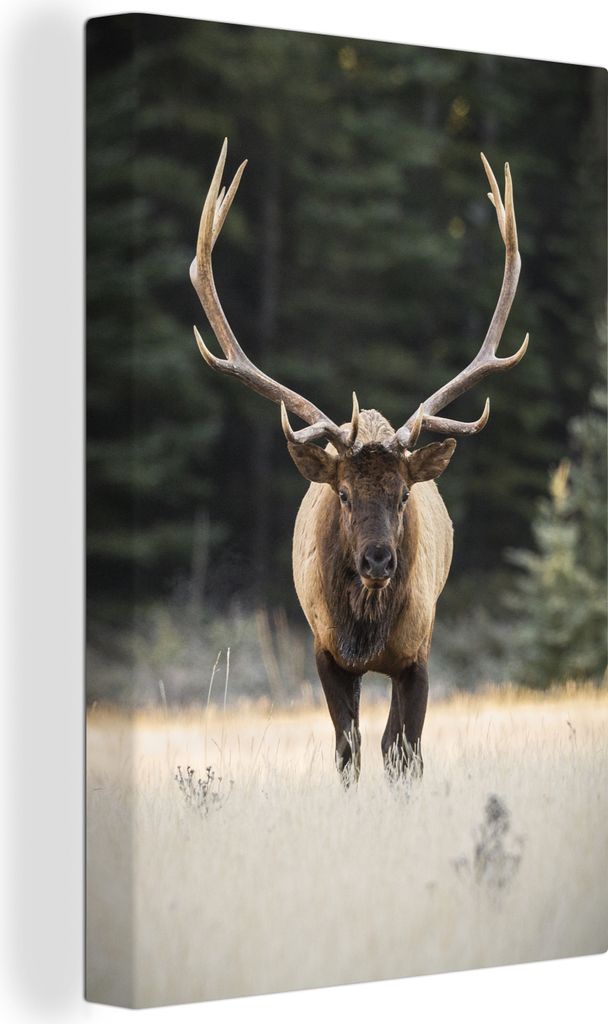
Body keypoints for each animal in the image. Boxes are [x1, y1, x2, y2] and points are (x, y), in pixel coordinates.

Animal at [190, 139, 528, 782]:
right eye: (343, 494)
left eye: (403, 494)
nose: (377, 559)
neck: (364, 636)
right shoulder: (324, 651)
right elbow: (348, 751)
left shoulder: (418, 652)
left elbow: (404, 752)